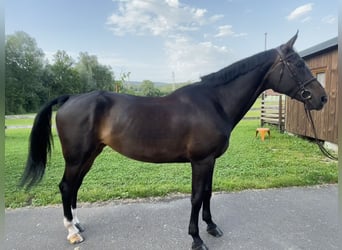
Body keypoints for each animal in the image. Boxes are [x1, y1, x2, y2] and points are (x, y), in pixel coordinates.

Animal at [20, 33, 328, 250]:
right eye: (297, 64)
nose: (322, 98)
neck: (214, 102)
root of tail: (70, 98)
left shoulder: (210, 161)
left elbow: (208, 193)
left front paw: (212, 227)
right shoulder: (200, 161)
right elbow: (196, 197)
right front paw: (196, 239)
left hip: (90, 154)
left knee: (74, 187)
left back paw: (77, 224)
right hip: (76, 156)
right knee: (66, 186)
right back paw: (72, 232)